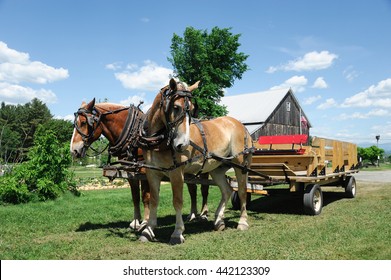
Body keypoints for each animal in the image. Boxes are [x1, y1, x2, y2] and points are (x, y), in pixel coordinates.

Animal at [70, 99, 211, 231]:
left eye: (84, 123)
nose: (73, 150)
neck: (134, 135)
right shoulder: (131, 171)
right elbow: (135, 197)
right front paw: (136, 221)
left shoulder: (145, 170)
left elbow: (146, 196)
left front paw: (145, 222)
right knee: (192, 190)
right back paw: (192, 214)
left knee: (204, 189)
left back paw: (203, 214)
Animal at [141, 77, 254, 244]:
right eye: (176, 107)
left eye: (192, 108)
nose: (182, 144)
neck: (158, 142)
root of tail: (239, 124)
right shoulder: (152, 172)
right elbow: (154, 200)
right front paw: (148, 230)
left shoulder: (176, 173)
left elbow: (178, 201)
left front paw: (177, 233)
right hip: (217, 168)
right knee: (227, 190)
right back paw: (218, 221)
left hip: (241, 165)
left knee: (241, 191)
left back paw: (242, 222)